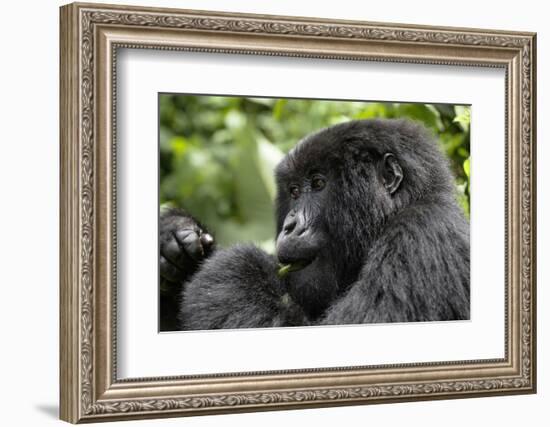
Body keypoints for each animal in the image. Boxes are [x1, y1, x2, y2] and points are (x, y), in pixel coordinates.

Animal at [158, 118, 470, 332]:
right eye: (294, 191)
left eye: (319, 184)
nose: (290, 226)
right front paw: (172, 236)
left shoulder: (421, 236)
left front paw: (234, 267)